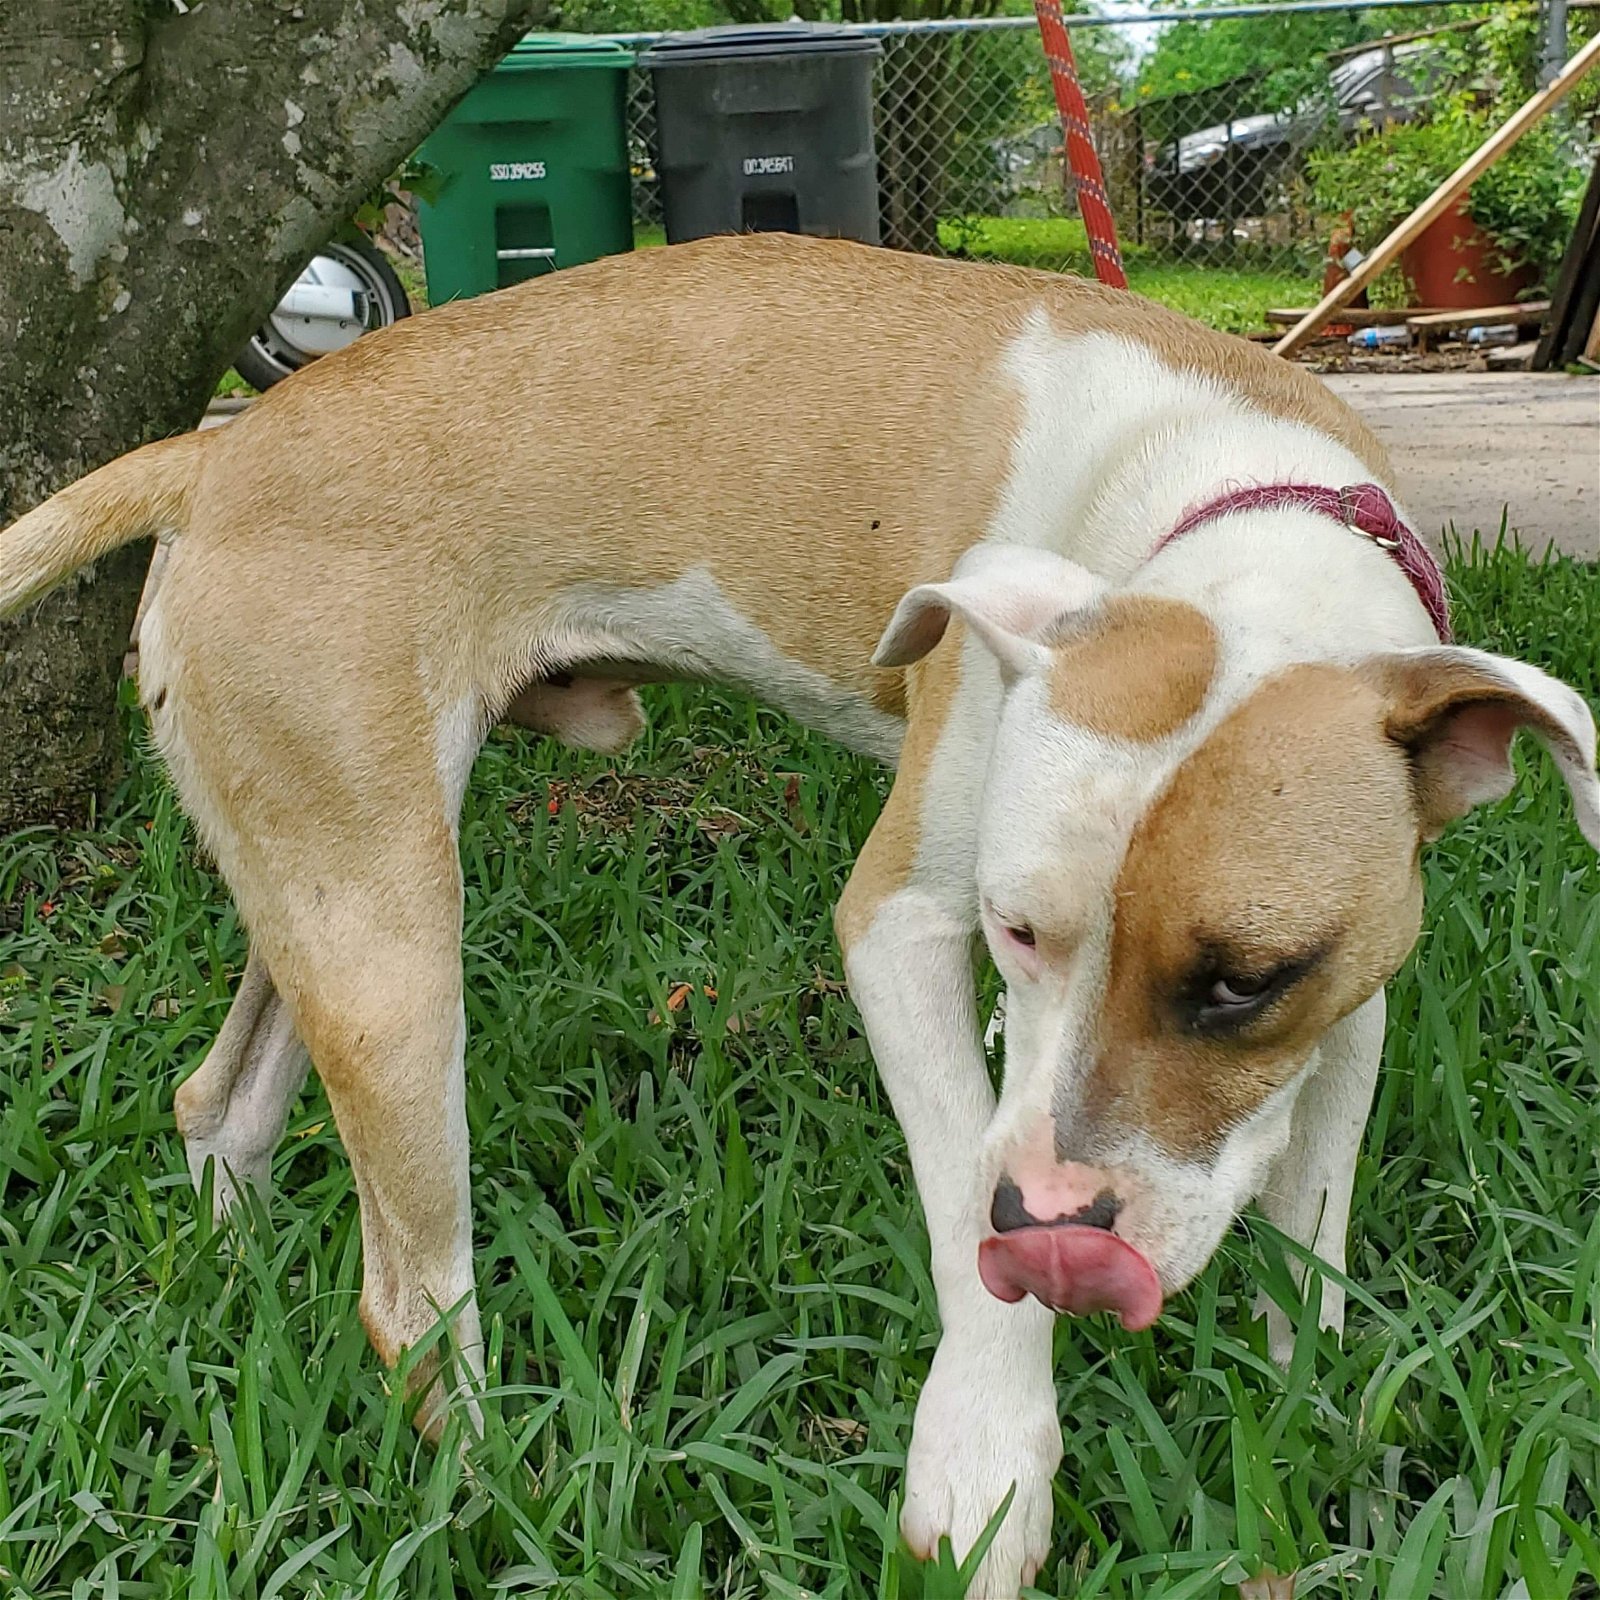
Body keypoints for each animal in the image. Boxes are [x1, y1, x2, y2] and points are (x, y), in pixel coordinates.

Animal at [3, 232, 1600, 1593]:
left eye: (1247, 981)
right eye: (1016, 931)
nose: (1053, 1225)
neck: (1223, 490)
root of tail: (217, 450)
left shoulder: (1355, 996)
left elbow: (1306, 1234)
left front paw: (1308, 1425)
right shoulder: (901, 929)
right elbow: (962, 1196)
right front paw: (986, 1469)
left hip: (322, 887)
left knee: (221, 1099)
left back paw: (226, 1280)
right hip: (396, 958)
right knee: (410, 1299)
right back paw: (514, 1495)